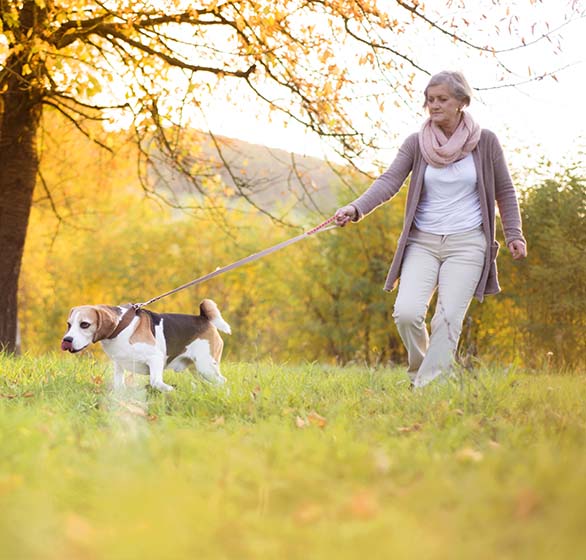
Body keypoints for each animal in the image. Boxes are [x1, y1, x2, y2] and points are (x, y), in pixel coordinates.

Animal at [61, 300, 230, 392]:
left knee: (223, 382)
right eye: (69, 325)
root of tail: (203, 318)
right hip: (198, 370)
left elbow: (155, 382)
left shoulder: (156, 358)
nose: (67, 339)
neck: (121, 327)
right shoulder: (118, 364)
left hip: (206, 367)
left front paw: (170, 390)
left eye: (84, 324)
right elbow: (118, 384)